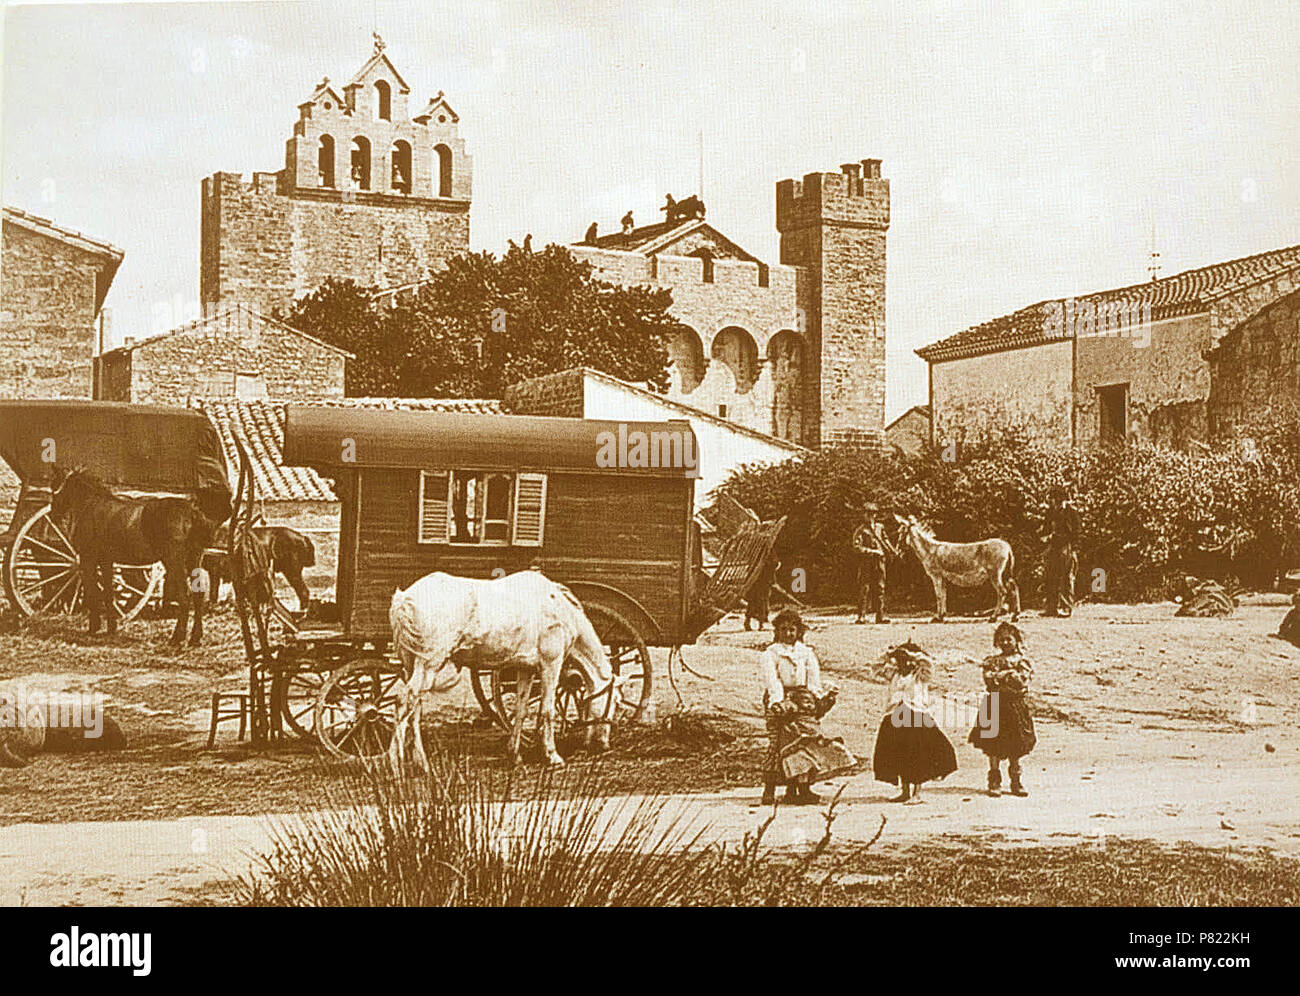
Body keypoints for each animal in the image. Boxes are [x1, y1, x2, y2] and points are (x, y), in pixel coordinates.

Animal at [48, 468, 218, 647]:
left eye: (54, 486)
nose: (52, 515)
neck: (92, 505)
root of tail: (191, 512)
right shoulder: (106, 561)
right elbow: (108, 592)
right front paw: (111, 628)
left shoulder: (88, 561)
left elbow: (93, 592)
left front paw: (93, 628)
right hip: (194, 560)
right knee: (198, 596)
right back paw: (195, 638)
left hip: (174, 562)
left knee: (184, 597)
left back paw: (176, 638)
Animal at [384, 569, 613, 769]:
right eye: (615, 701)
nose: (605, 745)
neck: (558, 607)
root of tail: (404, 599)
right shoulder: (551, 665)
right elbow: (547, 711)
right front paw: (552, 756)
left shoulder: (526, 670)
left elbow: (521, 710)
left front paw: (515, 755)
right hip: (429, 664)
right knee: (404, 701)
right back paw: (395, 763)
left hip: (411, 666)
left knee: (414, 708)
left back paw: (421, 763)